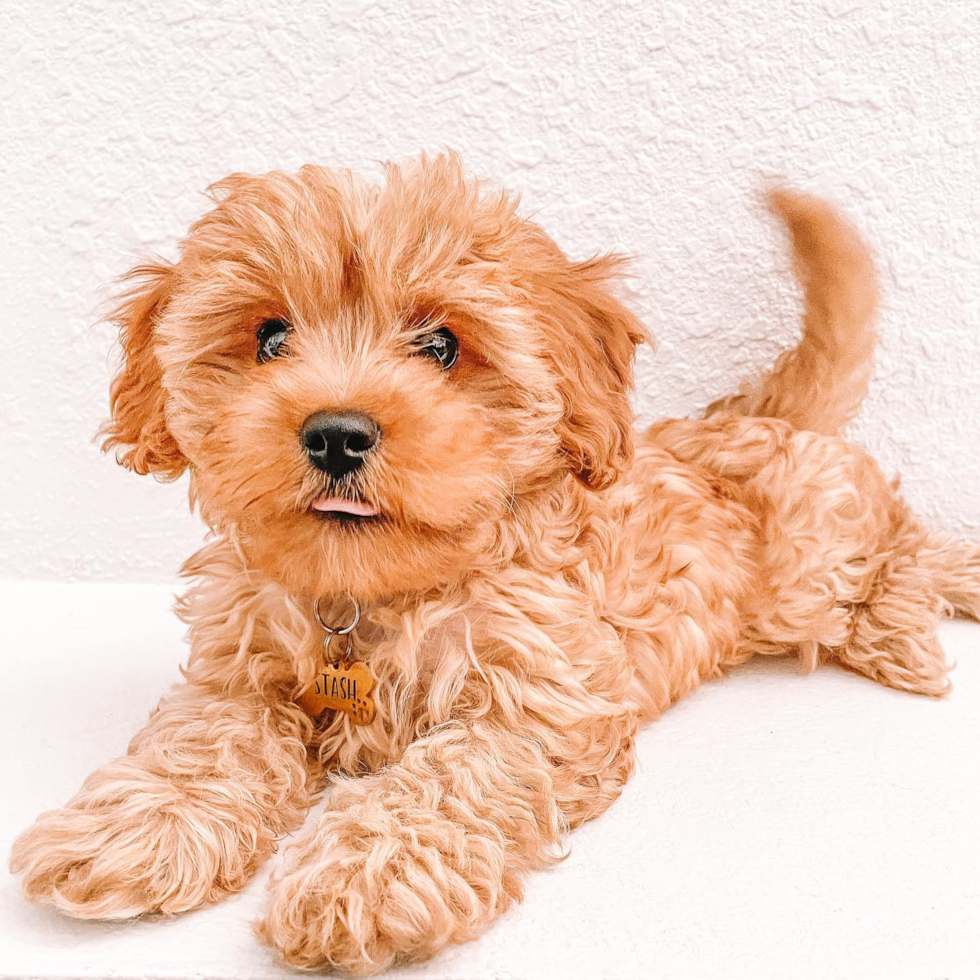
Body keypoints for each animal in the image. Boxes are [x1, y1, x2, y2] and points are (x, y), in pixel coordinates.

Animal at [9, 155, 980, 972]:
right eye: (270, 337)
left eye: (441, 345)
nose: (336, 434)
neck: (370, 593)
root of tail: (755, 414)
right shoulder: (235, 673)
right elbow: (202, 743)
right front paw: (137, 827)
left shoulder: (541, 704)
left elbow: (446, 779)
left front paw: (366, 876)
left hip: (809, 563)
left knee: (903, 539)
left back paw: (911, 622)